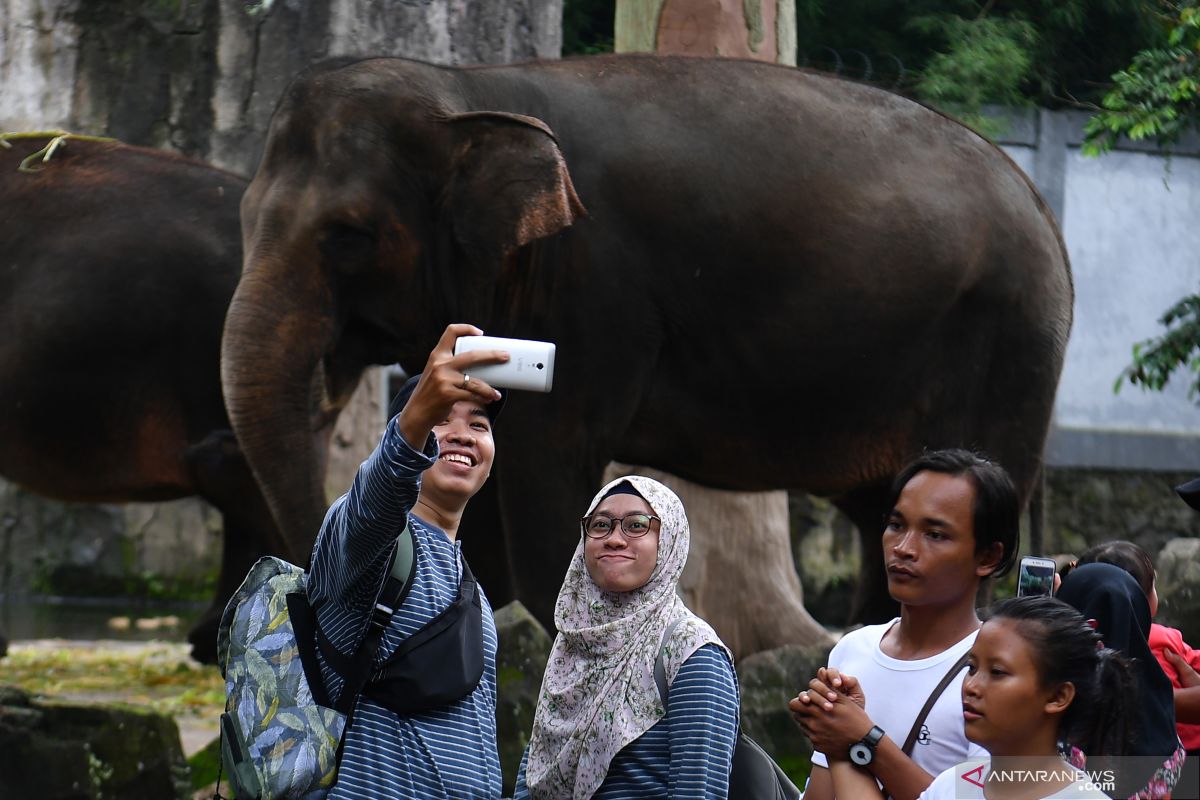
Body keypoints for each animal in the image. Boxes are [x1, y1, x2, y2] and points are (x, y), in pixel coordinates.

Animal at [223, 53, 1070, 633]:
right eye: (245, 215)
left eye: (349, 235)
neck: (471, 90)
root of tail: (1043, 208)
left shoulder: (591, 290)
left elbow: (544, 478)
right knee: (879, 521)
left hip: (1008, 348)